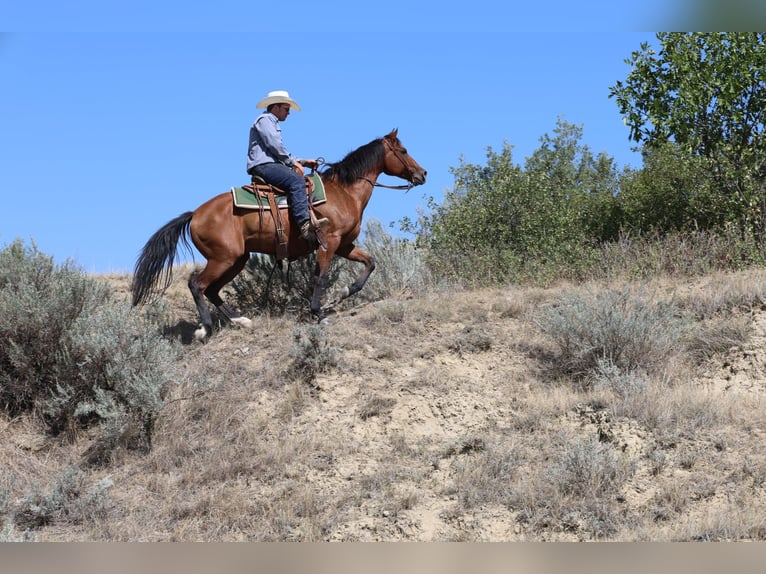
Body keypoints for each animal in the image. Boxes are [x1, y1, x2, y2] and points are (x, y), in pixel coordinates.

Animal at [131, 129, 427, 340]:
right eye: (403, 150)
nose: (422, 173)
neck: (343, 192)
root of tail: (195, 214)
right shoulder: (329, 242)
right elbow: (321, 277)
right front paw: (319, 313)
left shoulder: (344, 244)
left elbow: (370, 263)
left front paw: (342, 294)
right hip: (223, 259)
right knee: (197, 285)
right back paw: (204, 328)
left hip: (236, 259)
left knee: (212, 290)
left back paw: (241, 320)